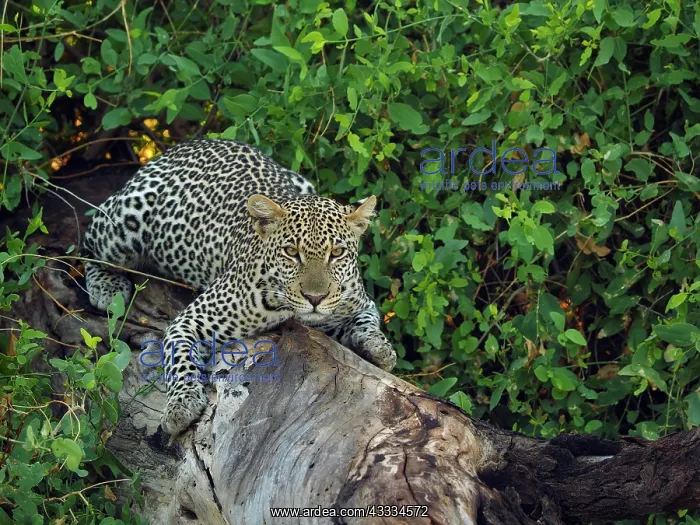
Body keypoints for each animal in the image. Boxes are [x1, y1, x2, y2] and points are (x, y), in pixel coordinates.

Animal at [82, 139, 396, 437]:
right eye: (291, 252)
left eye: (337, 252)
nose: (315, 298)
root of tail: (193, 143)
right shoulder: (189, 322)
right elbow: (179, 358)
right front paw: (181, 406)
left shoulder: (359, 303)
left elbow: (366, 321)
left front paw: (379, 349)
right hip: (123, 224)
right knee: (88, 238)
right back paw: (106, 287)